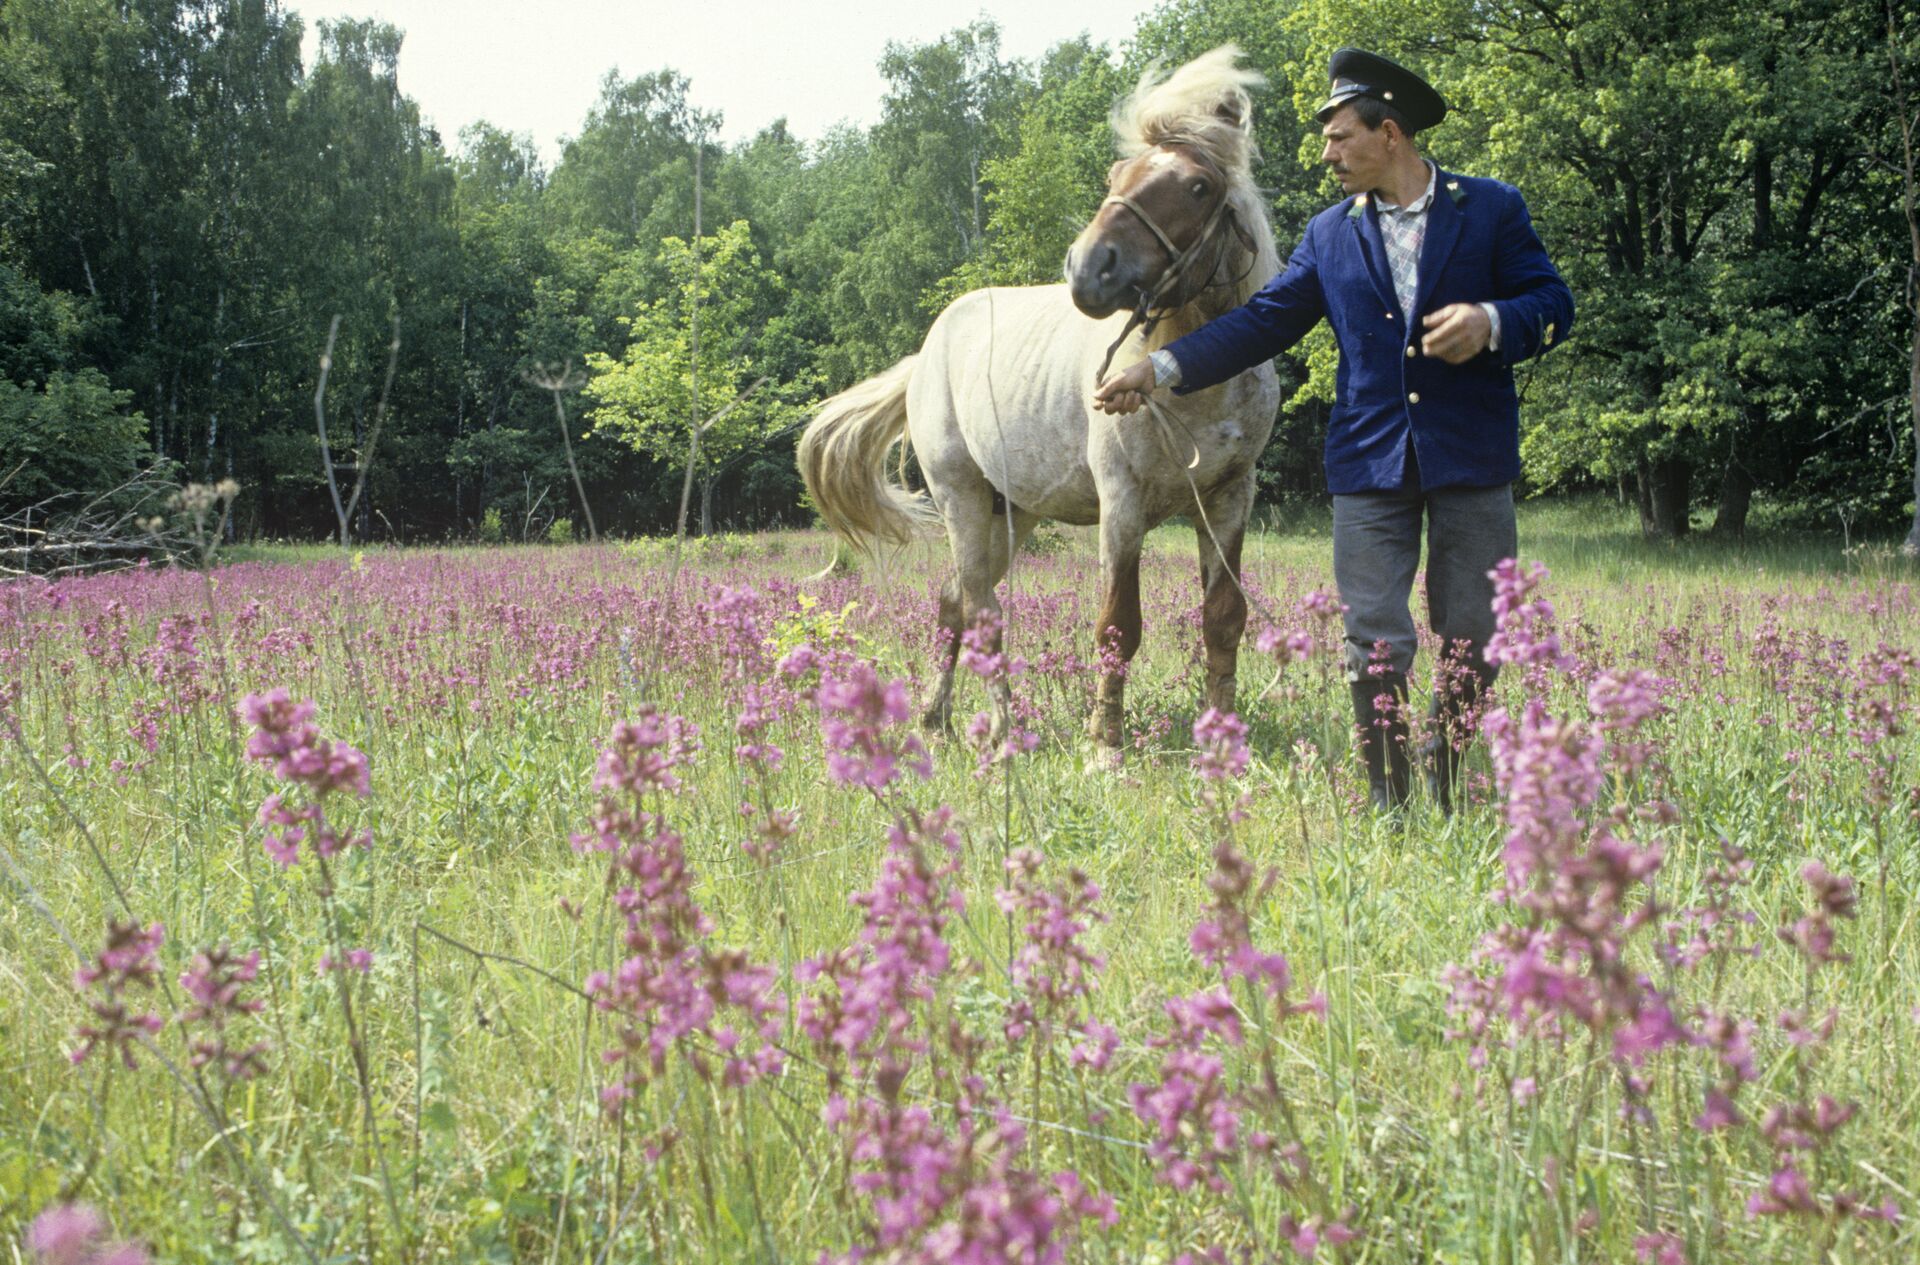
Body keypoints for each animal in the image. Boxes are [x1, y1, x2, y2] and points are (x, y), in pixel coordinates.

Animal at [794, 49, 1274, 756]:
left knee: (955, 603)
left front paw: (1222, 742)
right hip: (962, 498)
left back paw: (938, 719)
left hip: (1009, 513)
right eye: (1116, 174)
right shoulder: (1122, 504)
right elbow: (1118, 626)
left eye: (1197, 187)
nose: (1089, 268)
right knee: (983, 611)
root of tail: (928, 352)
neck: (1193, 377)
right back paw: (1001, 728)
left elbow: (1223, 619)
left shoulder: (1229, 500)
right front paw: (1105, 747)